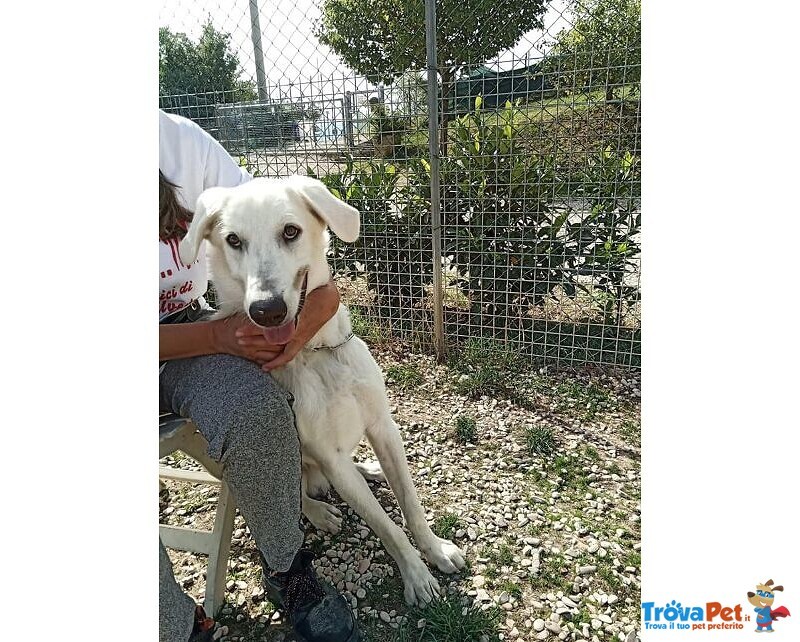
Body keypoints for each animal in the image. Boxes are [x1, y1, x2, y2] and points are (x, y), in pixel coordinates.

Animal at [180, 176, 468, 604]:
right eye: (233, 240)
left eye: (290, 231)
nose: (266, 310)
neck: (314, 352)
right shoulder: (330, 458)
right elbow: (386, 526)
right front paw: (416, 575)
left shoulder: (384, 427)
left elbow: (411, 504)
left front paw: (435, 549)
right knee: (292, 495)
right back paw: (318, 511)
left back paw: (368, 468)